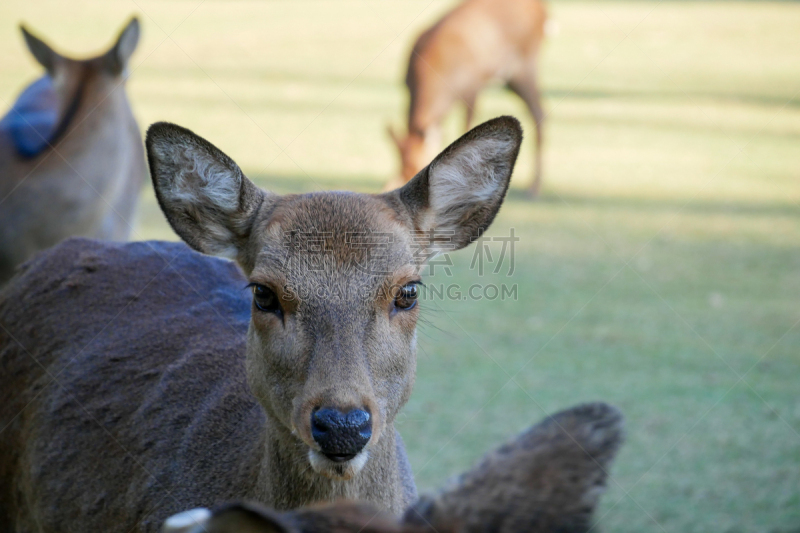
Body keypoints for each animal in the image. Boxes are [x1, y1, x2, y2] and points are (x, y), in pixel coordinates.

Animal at [384, 0, 548, 197]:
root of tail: (542, 8)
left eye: (417, 166)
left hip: (525, 67)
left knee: (539, 112)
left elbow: (467, 127)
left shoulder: (472, 86)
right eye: (402, 166)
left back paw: (535, 188)